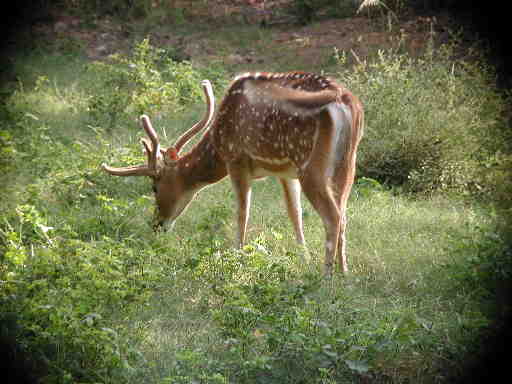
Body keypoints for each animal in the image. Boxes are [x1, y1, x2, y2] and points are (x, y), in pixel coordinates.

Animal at [101, 72, 364, 274]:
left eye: (154, 186)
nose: (156, 224)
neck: (218, 145)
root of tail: (346, 104)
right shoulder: (284, 171)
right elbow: (295, 214)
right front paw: (304, 258)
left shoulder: (236, 159)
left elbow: (241, 213)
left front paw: (236, 256)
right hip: (346, 164)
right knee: (343, 215)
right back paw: (345, 272)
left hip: (311, 165)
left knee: (332, 216)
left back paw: (326, 275)